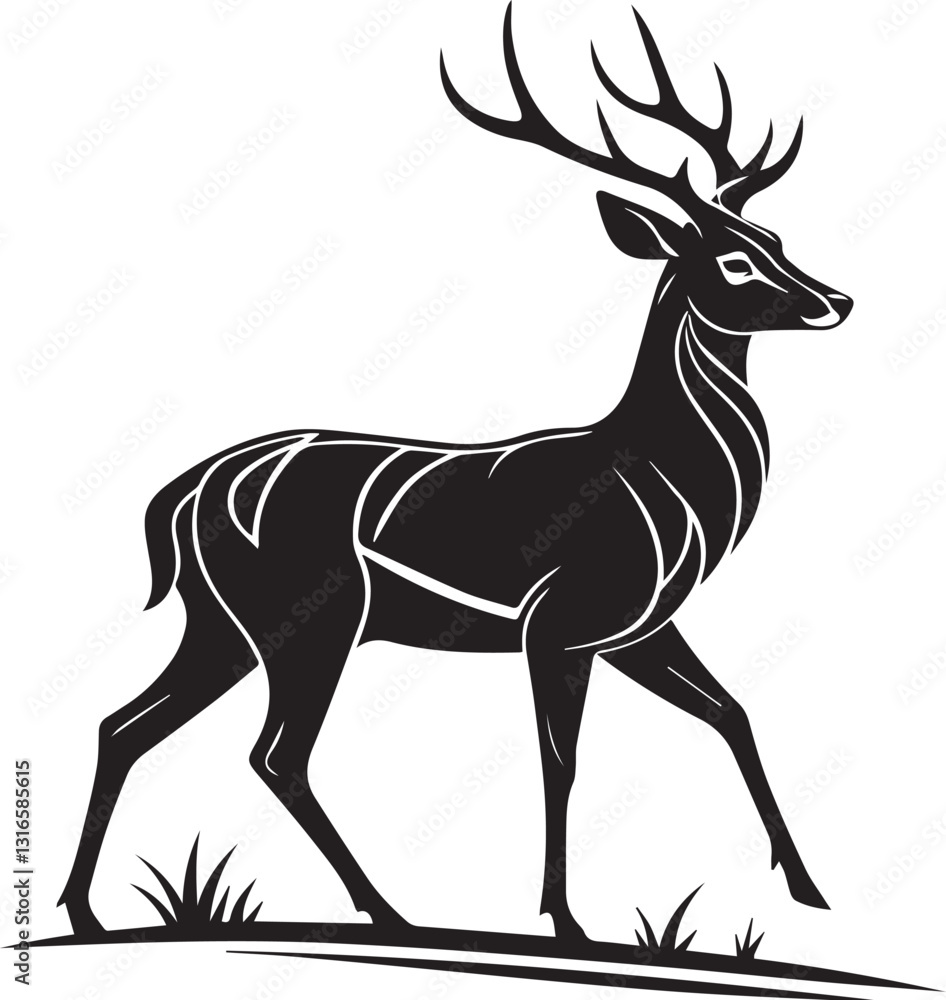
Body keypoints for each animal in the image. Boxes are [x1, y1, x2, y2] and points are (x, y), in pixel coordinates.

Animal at [59, 4, 852, 944]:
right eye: (733, 261)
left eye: (774, 238)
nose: (837, 300)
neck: (672, 485)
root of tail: (177, 499)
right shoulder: (561, 622)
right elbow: (561, 760)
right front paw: (565, 920)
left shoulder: (641, 629)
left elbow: (735, 714)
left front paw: (811, 889)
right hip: (309, 615)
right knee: (275, 753)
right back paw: (388, 911)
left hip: (220, 623)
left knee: (124, 724)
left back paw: (88, 912)